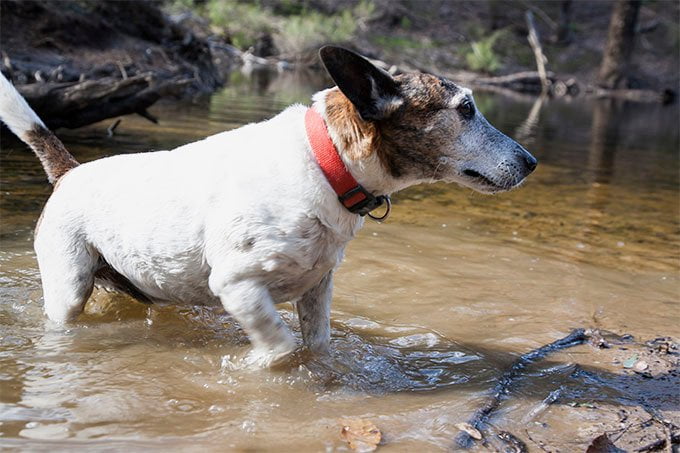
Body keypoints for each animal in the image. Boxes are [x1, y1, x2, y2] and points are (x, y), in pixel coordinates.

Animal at [1, 46, 536, 366]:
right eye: (466, 108)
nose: (531, 162)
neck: (327, 162)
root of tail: (70, 171)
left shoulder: (317, 289)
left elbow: (316, 345)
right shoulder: (236, 285)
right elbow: (279, 346)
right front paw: (255, 366)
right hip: (68, 288)